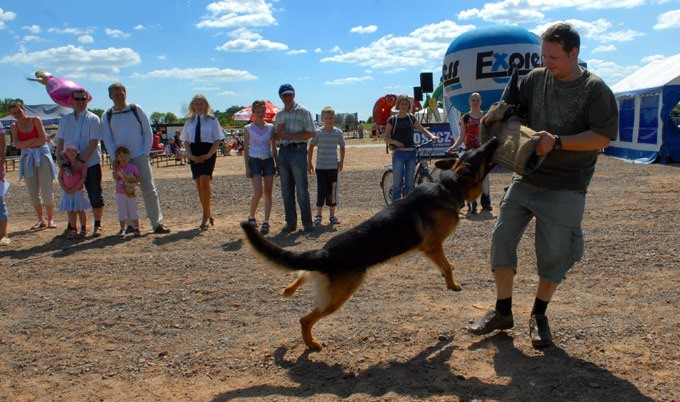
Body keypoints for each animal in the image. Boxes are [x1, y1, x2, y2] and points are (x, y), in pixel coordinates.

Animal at [242, 137, 496, 348]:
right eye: (480, 154)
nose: (493, 138)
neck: (450, 186)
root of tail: (325, 254)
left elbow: (446, 265)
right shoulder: (432, 247)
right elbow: (447, 266)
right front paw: (452, 283)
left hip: (322, 281)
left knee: (302, 276)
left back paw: (289, 290)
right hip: (338, 297)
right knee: (305, 319)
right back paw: (311, 343)